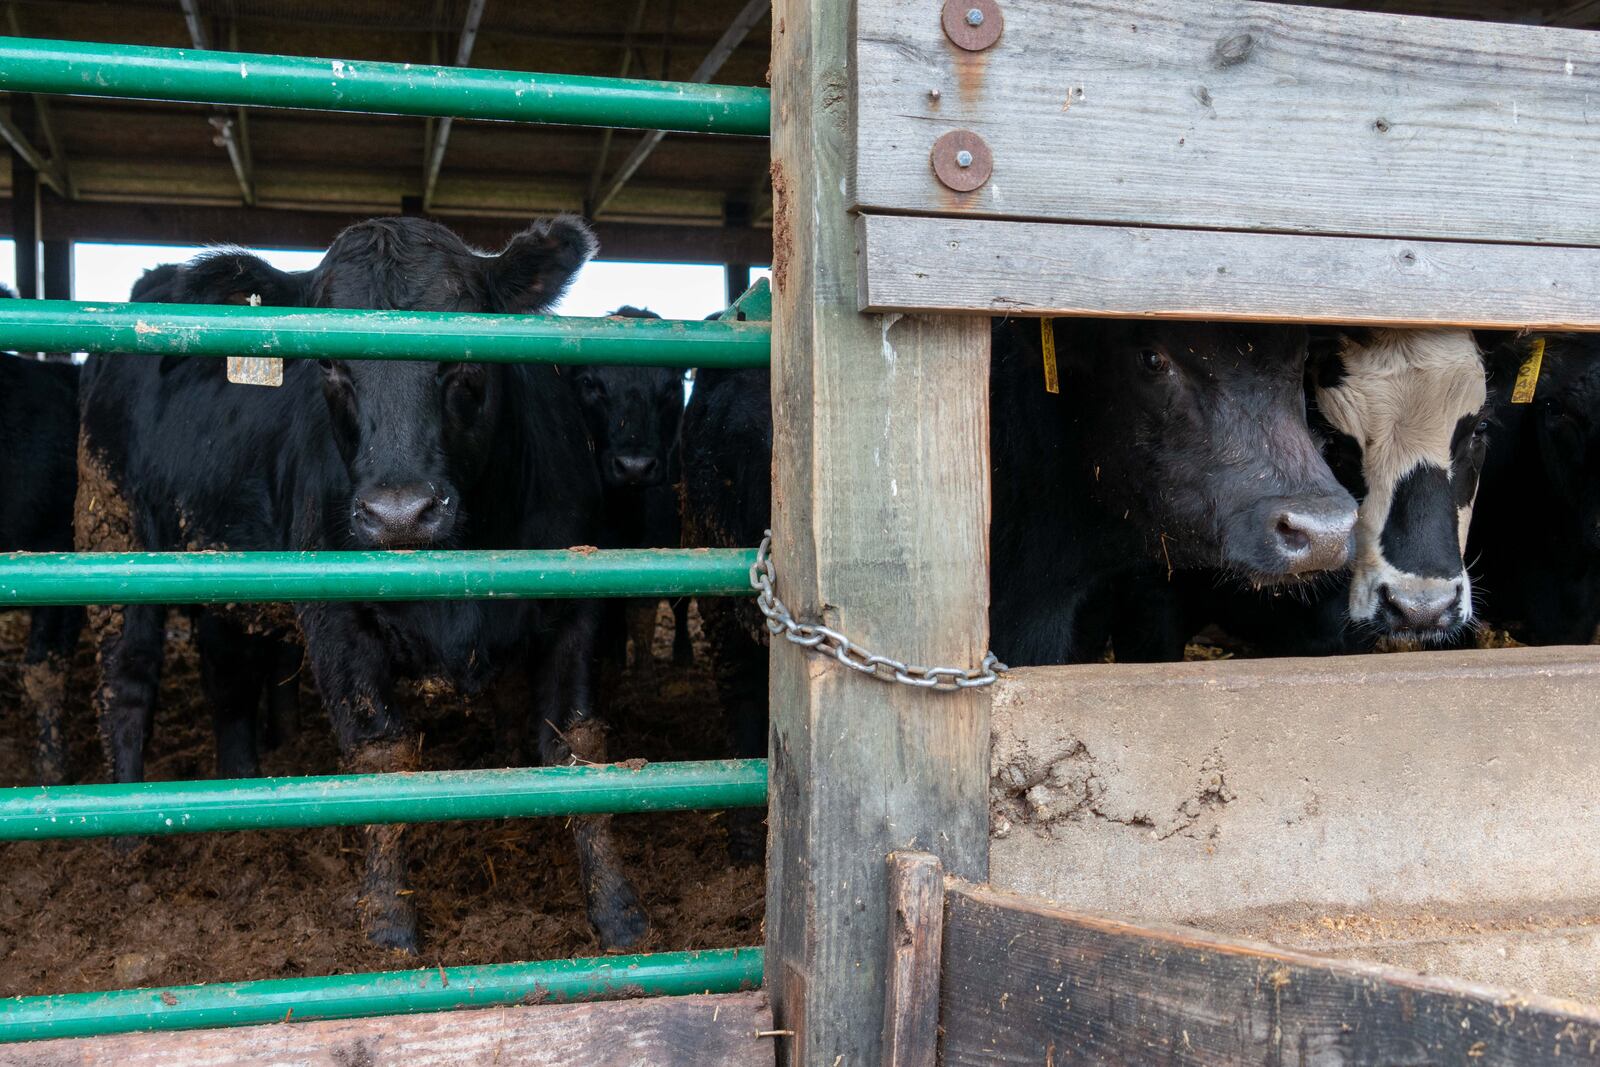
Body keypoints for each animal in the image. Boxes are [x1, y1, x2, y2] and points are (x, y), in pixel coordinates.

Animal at [78, 214, 646, 953]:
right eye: (327, 362)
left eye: (468, 345)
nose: (399, 511)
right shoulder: (335, 621)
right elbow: (382, 754)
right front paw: (387, 920)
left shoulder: (576, 601)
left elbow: (578, 745)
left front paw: (617, 910)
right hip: (117, 534)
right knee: (128, 677)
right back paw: (125, 844)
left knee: (224, 672)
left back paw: (240, 798)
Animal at [569, 303, 694, 681]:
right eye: (589, 383)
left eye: (672, 385)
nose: (635, 466)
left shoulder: (663, 540)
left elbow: (643, 612)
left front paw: (644, 673)